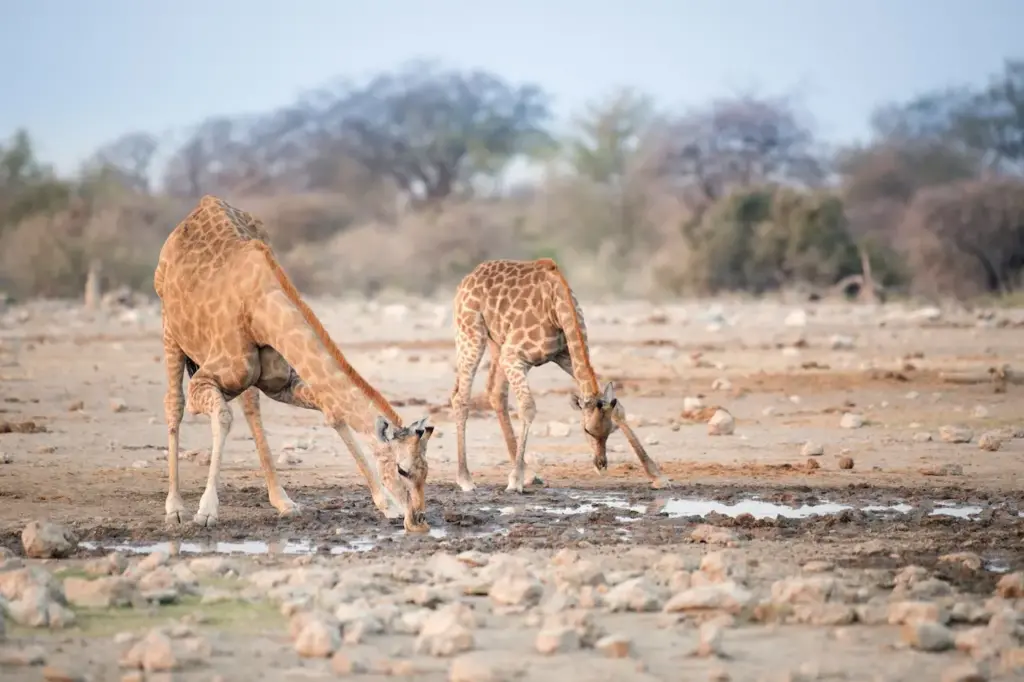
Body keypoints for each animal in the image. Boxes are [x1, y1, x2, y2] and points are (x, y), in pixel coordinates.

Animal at [153, 193, 434, 532]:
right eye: (403, 470)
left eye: (427, 469)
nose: (419, 521)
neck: (259, 309)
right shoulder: (203, 380)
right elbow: (222, 417)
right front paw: (206, 512)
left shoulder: (282, 383)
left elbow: (333, 412)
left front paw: (385, 504)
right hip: (170, 330)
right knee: (174, 404)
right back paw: (175, 508)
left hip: (244, 375)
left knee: (251, 408)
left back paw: (283, 501)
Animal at [450, 258, 671, 491]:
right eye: (586, 430)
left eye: (610, 431)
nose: (601, 464)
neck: (557, 308)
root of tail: (469, 276)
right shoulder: (514, 357)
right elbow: (528, 407)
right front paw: (514, 480)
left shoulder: (564, 355)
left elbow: (618, 407)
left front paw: (657, 476)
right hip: (471, 333)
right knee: (461, 398)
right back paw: (466, 479)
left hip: (497, 343)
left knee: (495, 392)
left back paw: (530, 474)